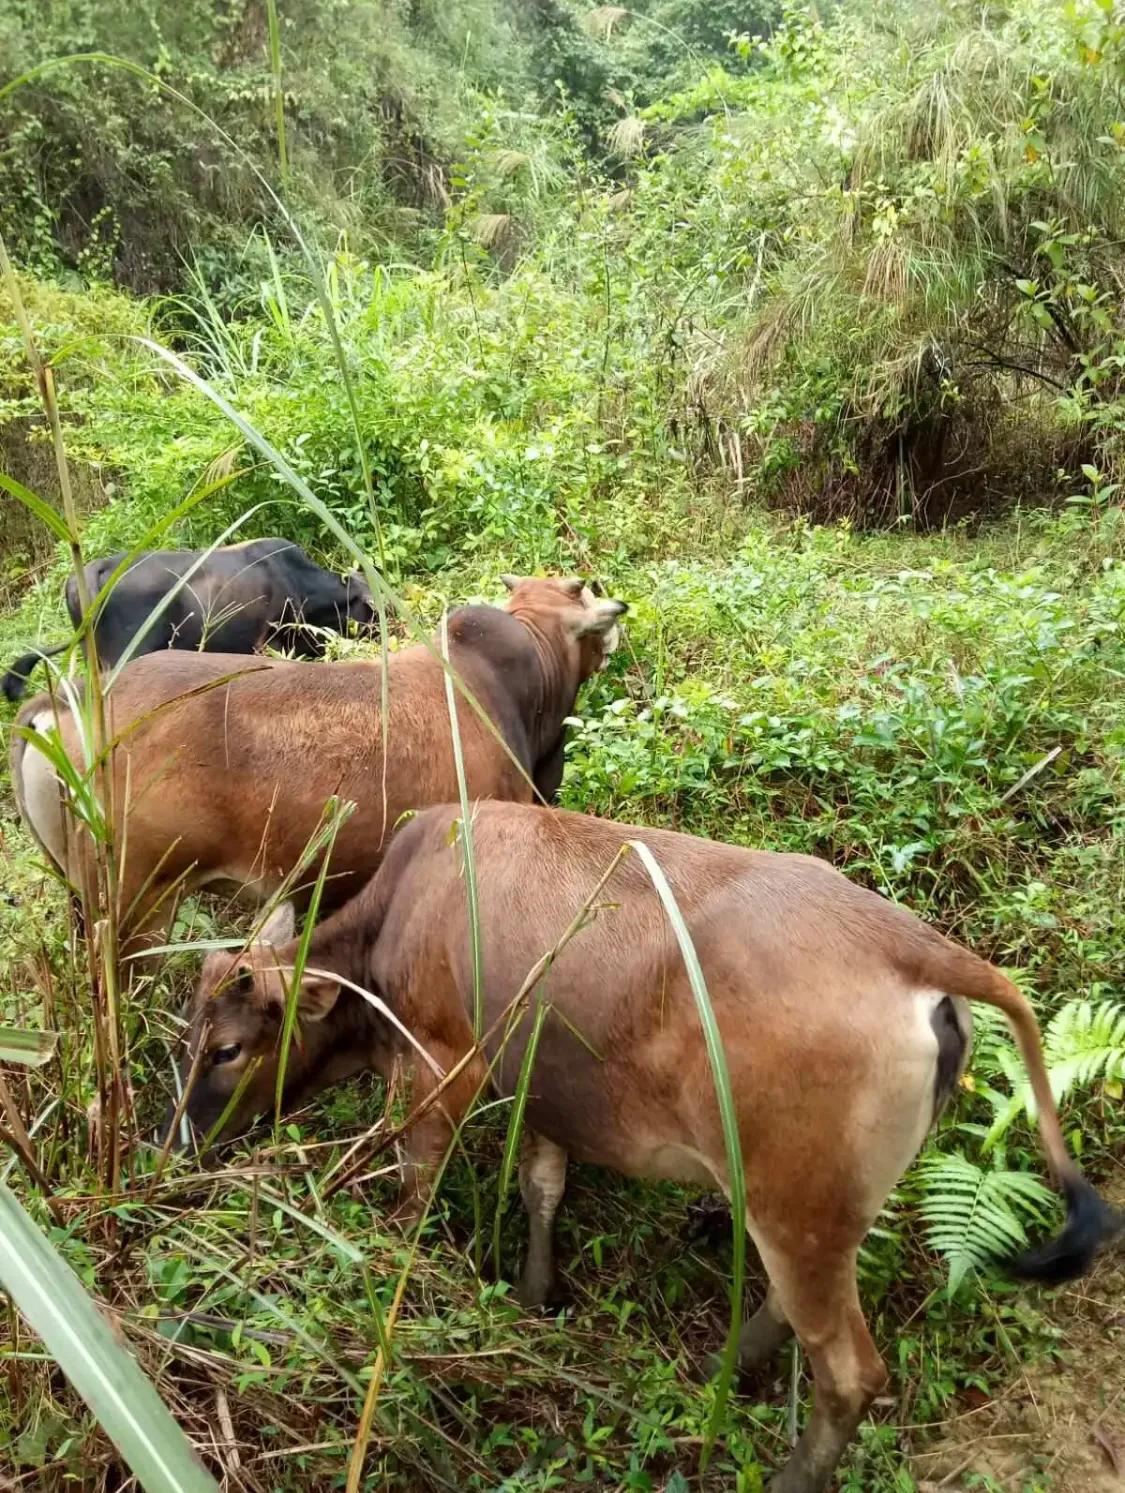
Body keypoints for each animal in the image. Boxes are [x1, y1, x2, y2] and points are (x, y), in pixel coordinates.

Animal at [179, 806, 1110, 1493]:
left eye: (226, 1048)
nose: (176, 1143)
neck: (397, 915)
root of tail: (907, 941)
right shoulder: (545, 1084)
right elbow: (542, 1183)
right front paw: (534, 1290)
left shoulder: (443, 1060)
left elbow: (415, 1185)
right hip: (819, 1206)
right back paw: (720, 1366)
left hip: (793, 1204)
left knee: (849, 1370)